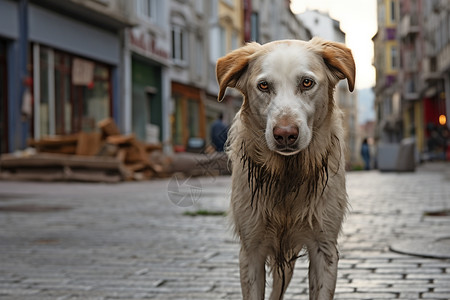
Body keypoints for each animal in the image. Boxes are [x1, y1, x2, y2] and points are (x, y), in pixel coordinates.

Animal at [216, 38, 356, 300]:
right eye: (263, 86)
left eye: (307, 82)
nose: (285, 134)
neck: (288, 174)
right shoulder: (251, 250)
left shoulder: (324, 248)